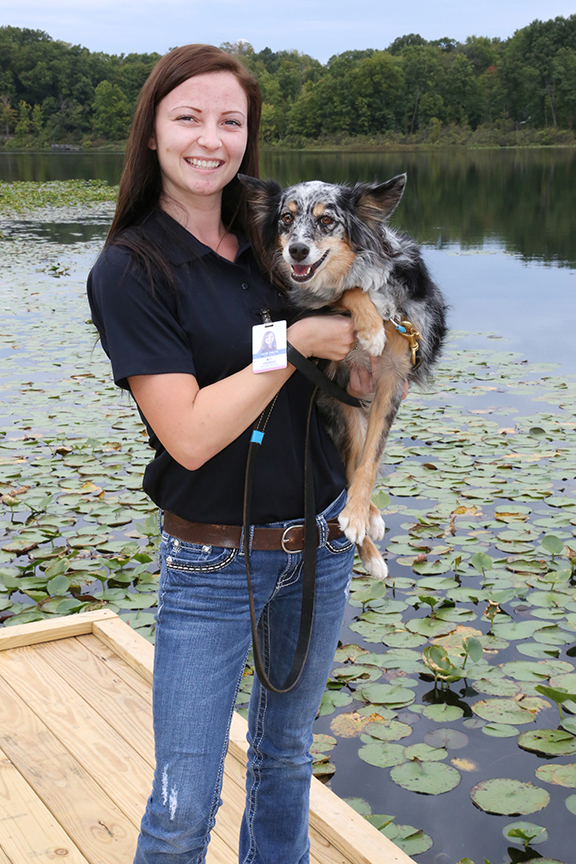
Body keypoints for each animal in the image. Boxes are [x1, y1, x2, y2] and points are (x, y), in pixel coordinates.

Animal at [241, 175, 448, 580]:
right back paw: (371, 546)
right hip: (341, 408)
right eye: (286, 218)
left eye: (326, 221)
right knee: (349, 466)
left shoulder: (391, 378)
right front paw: (369, 327)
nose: (297, 251)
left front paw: (356, 513)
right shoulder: (335, 364)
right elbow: (341, 294)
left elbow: (371, 459)